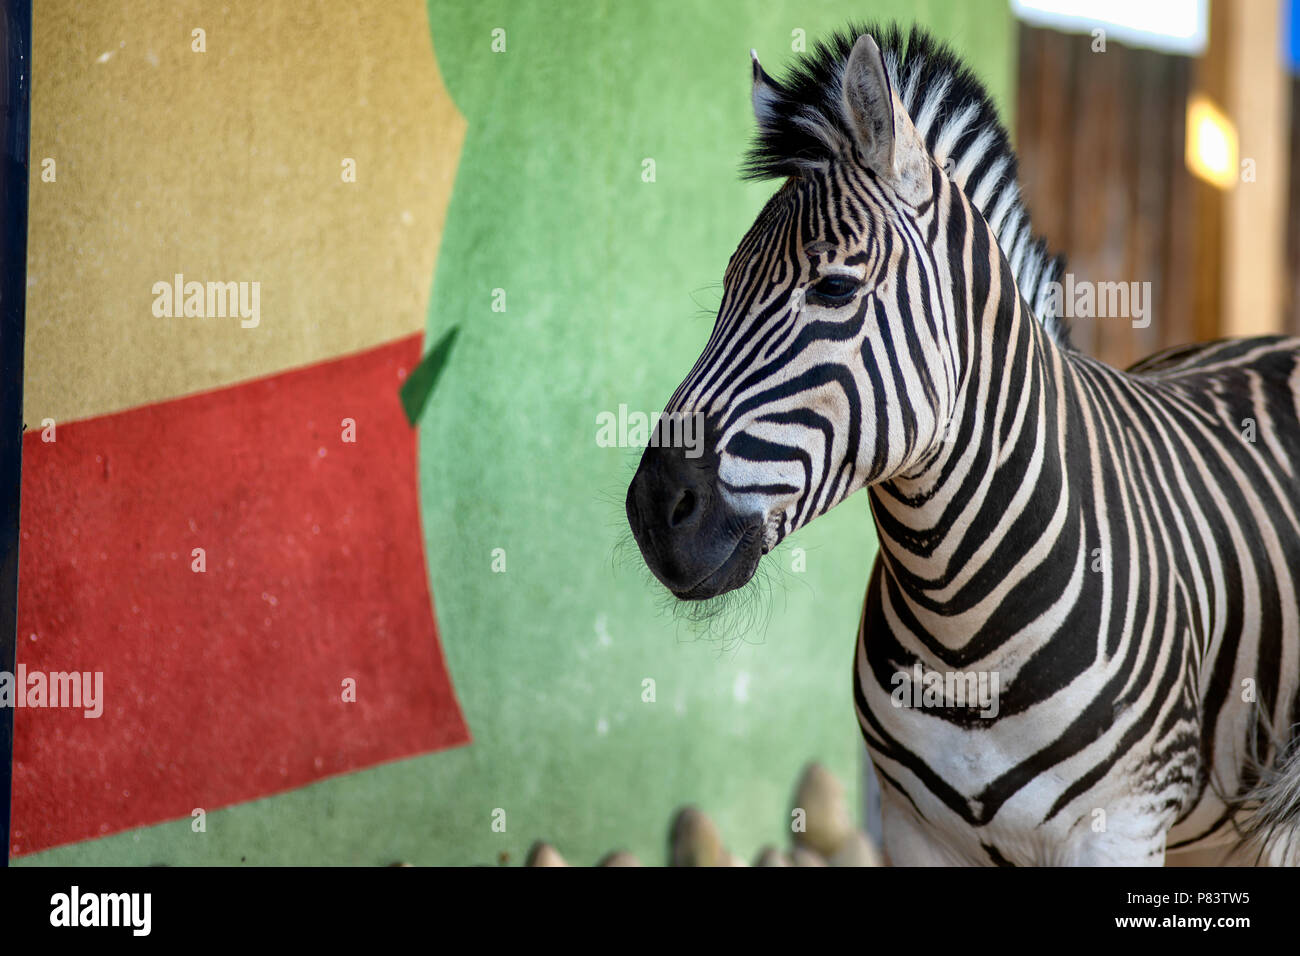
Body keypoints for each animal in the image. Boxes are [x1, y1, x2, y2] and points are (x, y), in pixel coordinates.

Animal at [625, 23, 1300, 866]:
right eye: (727, 288)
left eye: (835, 289)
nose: (654, 509)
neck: (961, 627)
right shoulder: (915, 828)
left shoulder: (1121, 824)